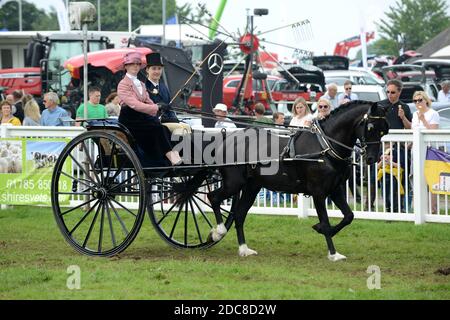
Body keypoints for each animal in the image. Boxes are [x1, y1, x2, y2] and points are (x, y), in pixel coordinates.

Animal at [206, 101, 388, 262]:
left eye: (384, 130)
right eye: (370, 127)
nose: (372, 158)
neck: (325, 146)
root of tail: (227, 140)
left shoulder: (335, 189)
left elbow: (349, 216)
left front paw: (321, 230)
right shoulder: (318, 192)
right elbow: (326, 221)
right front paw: (333, 254)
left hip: (252, 187)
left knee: (239, 214)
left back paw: (244, 249)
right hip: (233, 183)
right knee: (213, 197)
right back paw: (218, 232)